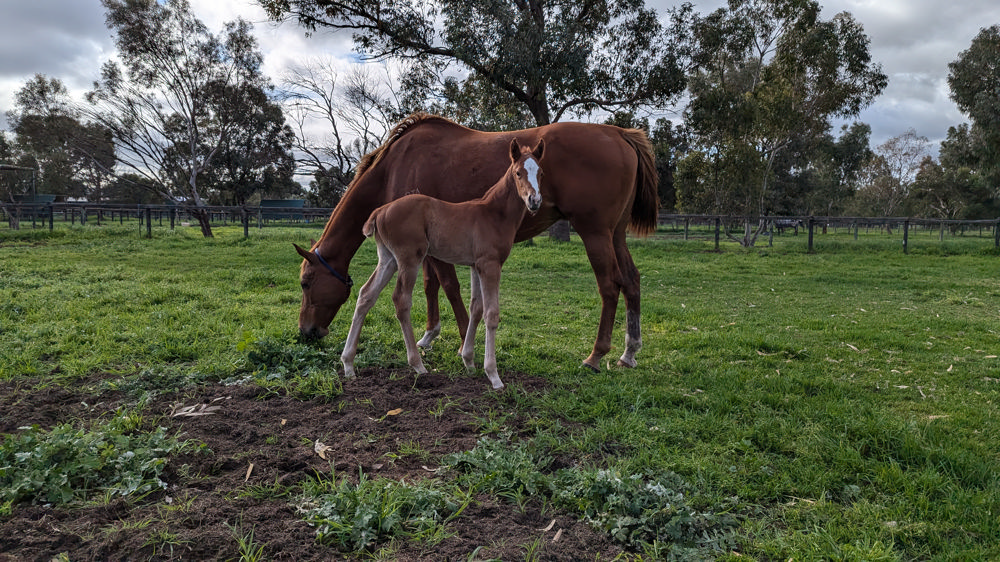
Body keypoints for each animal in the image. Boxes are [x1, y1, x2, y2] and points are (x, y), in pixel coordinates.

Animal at [344, 138, 548, 388]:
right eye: (518, 172)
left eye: (540, 173)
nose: (534, 201)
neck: (493, 214)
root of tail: (380, 211)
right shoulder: (490, 265)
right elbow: (491, 314)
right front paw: (493, 375)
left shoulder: (475, 266)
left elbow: (476, 308)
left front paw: (468, 361)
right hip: (409, 259)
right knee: (401, 300)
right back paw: (418, 365)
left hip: (388, 259)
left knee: (366, 295)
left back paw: (348, 364)